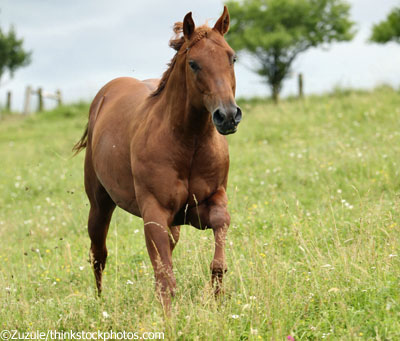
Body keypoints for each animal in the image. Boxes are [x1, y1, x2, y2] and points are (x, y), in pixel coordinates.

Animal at [72, 5, 242, 308]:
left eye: (231, 57)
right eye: (193, 64)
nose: (228, 116)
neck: (188, 145)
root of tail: (103, 96)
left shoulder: (202, 206)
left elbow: (220, 232)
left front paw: (217, 296)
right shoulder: (154, 214)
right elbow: (165, 279)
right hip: (100, 204)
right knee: (98, 253)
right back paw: (101, 302)